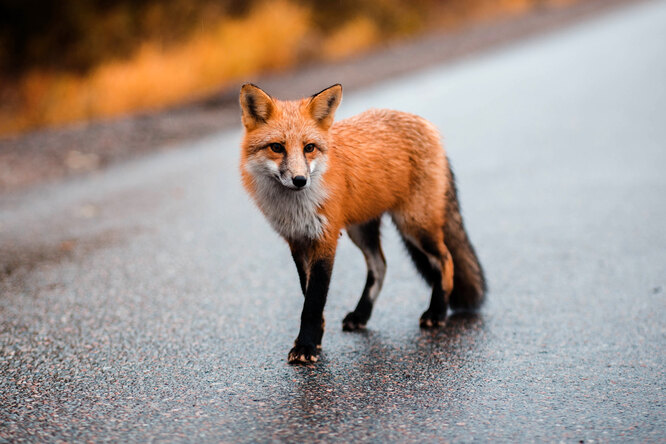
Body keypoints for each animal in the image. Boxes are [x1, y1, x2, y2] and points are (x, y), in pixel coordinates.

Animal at [237, 83, 482, 364]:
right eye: (277, 147)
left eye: (309, 147)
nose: (300, 180)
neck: (296, 207)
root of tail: (426, 124)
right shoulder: (297, 241)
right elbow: (308, 294)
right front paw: (314, 339)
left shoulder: (326, 238)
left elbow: (313, 301)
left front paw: (306, 346)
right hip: (361, 230)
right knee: (380, 265)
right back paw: (362, 314)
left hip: (414, 225)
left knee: (445, 259)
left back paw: (437, 312)